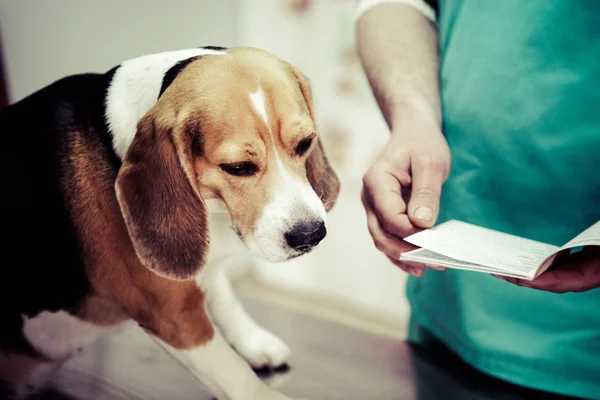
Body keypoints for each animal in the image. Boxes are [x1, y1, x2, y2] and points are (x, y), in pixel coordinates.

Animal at [0, 47, 338, 400]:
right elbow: (233, 373)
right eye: (237, 167)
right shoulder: (171, 313)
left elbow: (222, 292)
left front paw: (252, 341)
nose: (310, 235)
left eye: (305, 143)